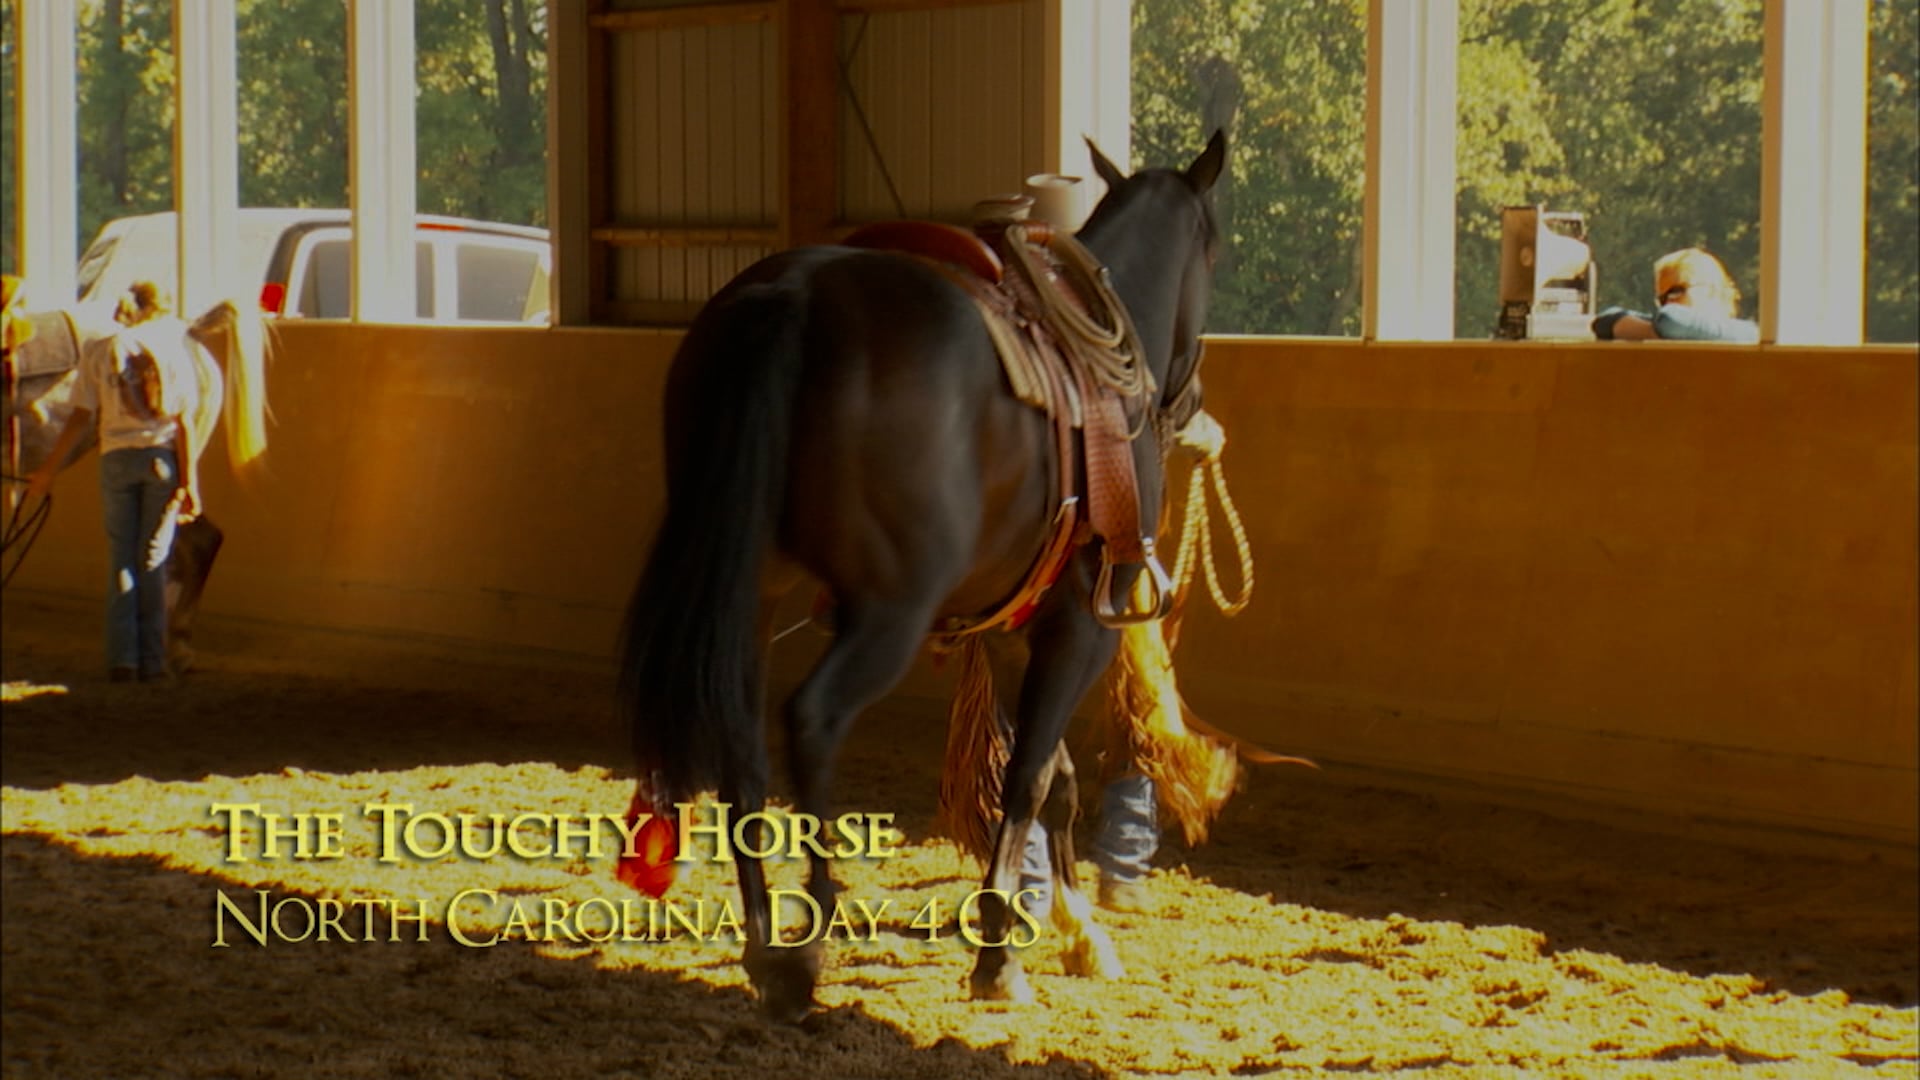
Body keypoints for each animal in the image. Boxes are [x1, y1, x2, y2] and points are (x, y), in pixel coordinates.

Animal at [617, 131, 1226, 1022]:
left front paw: (1078, 929)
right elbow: (1031, 779)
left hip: (753, 593)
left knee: (741, 744)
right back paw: (805, 947)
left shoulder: (1011, 632)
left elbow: (1055, 779)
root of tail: (793, 296)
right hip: (888, 614)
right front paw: (1001, 957)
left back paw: (764, 946)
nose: (1190, 399)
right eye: (1214, 252)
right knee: (812, 721)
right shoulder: (1079, 630)